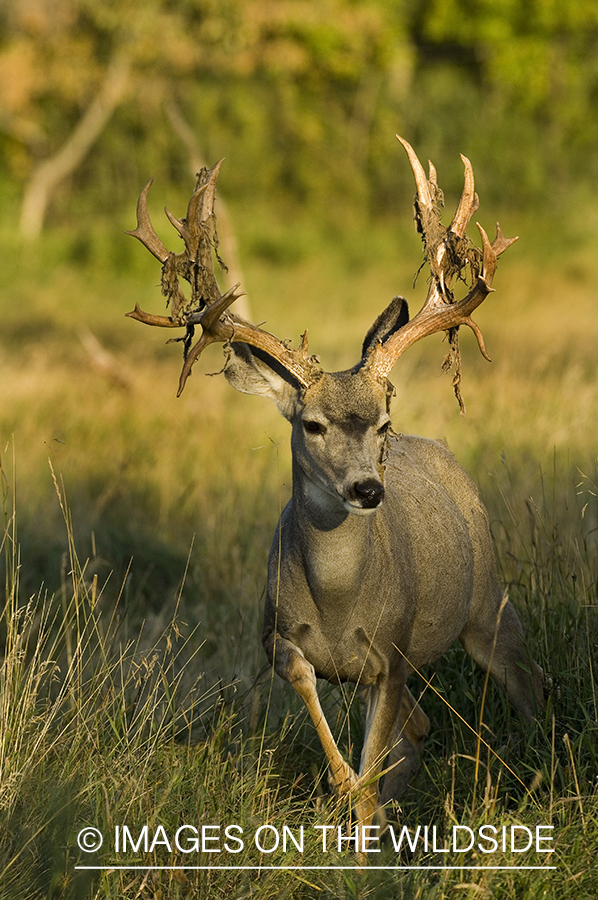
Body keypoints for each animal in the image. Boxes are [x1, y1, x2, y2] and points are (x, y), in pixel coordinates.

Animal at [127, 137, 548, 840]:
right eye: (313, 424)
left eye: (382, 421)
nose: (368, 489)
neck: (338, 603)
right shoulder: (275, 635)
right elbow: (327, 720)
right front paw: (350, 797)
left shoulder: (394, 654)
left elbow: (371, 770)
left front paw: (361, 825)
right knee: (423, 725)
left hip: (488, 601)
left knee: (528, 684)